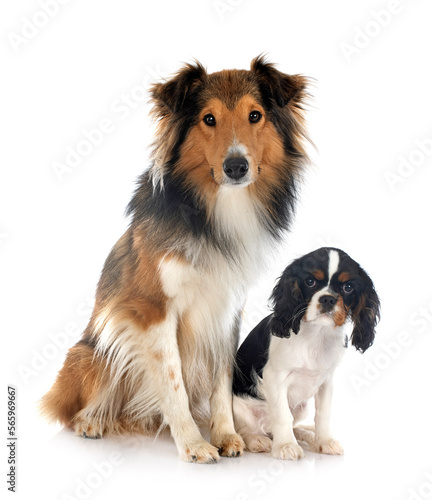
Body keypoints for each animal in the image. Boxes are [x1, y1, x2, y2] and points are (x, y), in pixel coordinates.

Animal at [235, 247, 380, 460]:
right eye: (310, 281)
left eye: (348, 287)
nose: (328, 298)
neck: (316, 333)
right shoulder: (275, 378)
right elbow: (282, 415)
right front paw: (286, 446)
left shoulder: (326, 381)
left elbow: (323, 414)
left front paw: (324, 441)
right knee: (244, 429)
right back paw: (257, 440)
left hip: (302, 408)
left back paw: (307, 436)